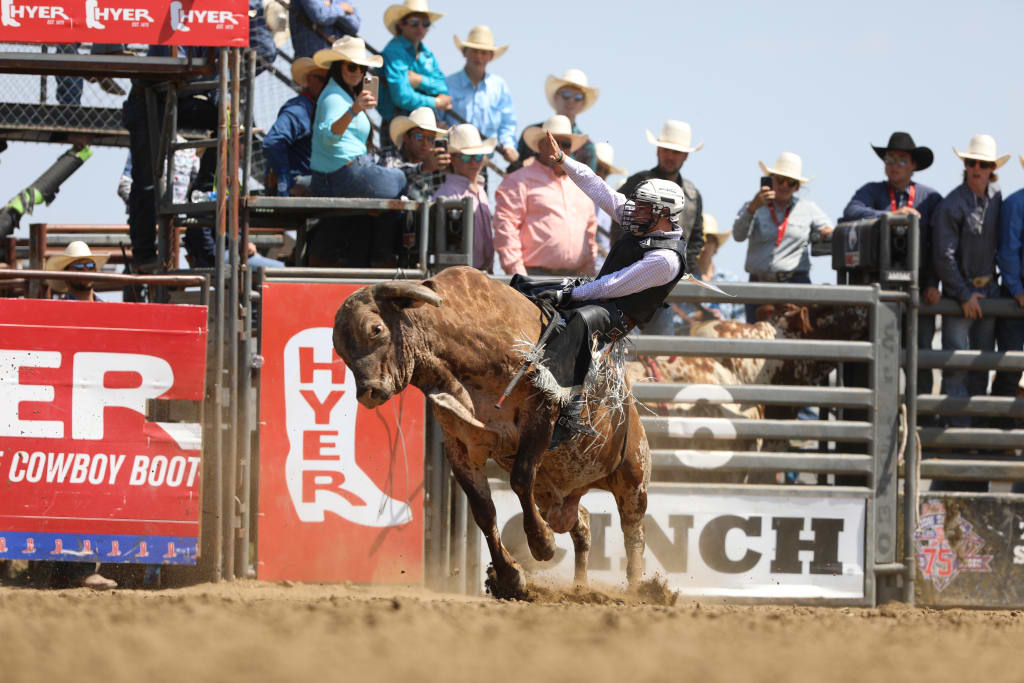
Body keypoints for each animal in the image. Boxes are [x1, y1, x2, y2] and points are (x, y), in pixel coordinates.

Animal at [329, 266, 647, 598]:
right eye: (340, 349)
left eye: (376, 329)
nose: (368, 392)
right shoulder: (460, 445)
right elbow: (483, 510)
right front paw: (510, 577)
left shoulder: (540, 414)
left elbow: (520, 478)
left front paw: (542, 543)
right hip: (555, 494)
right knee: (580, 522)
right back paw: (580, 586)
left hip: (633, 475)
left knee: (633, 530)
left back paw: (640, 589)